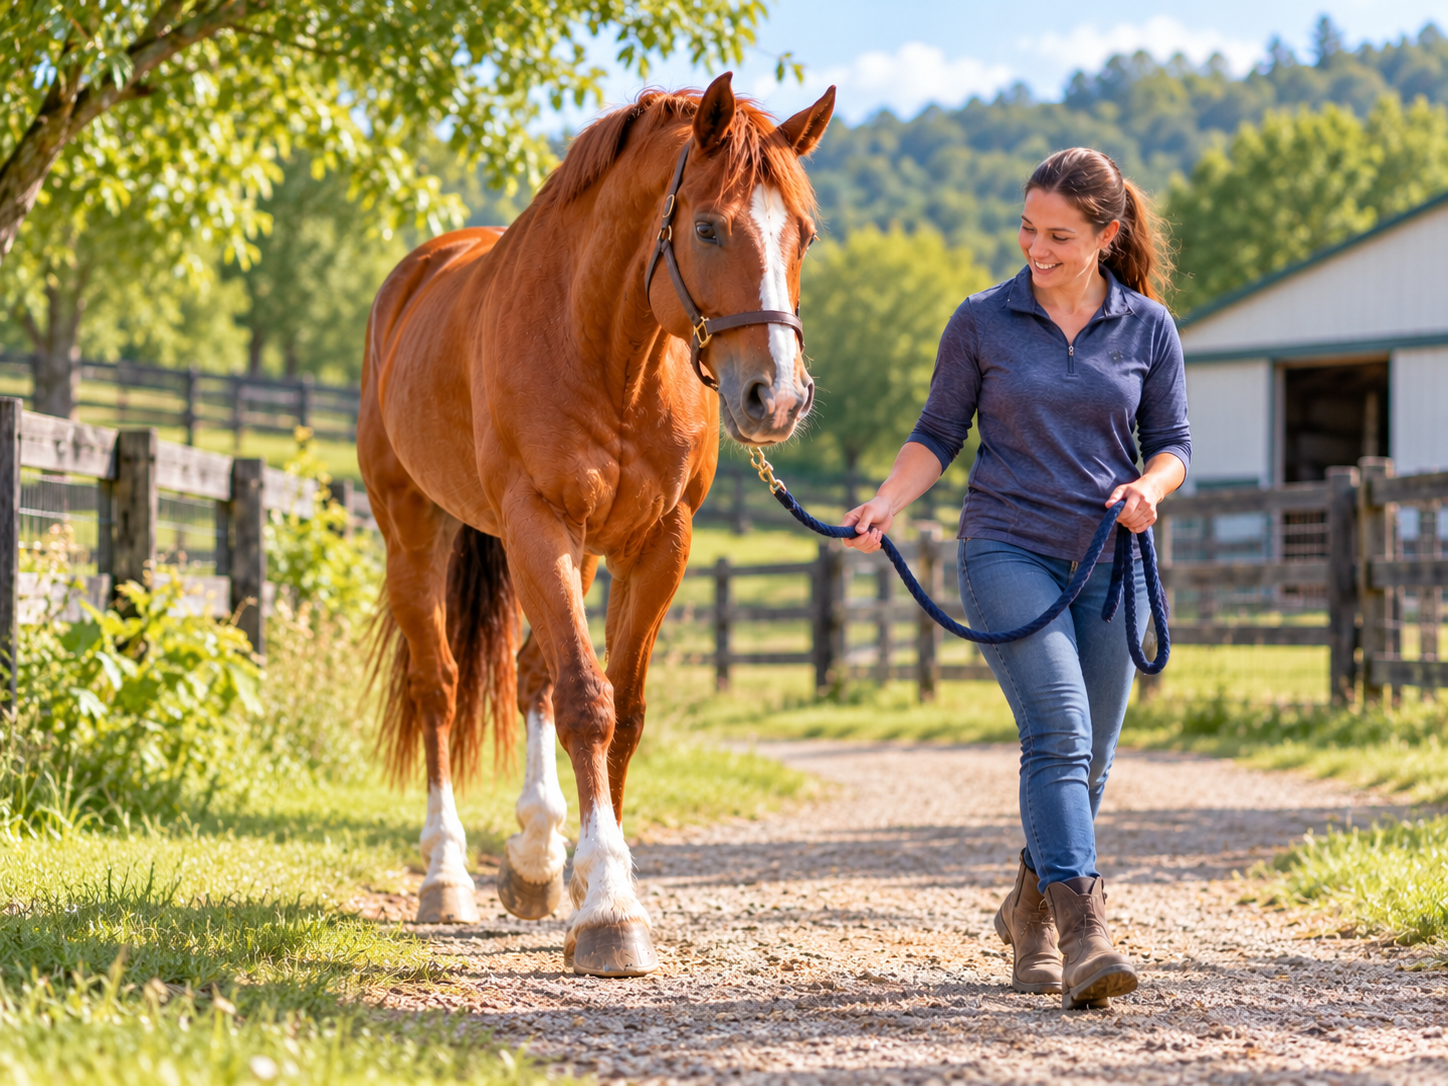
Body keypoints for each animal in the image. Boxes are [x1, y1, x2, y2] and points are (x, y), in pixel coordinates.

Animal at [358, 73, 836, 977]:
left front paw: (591, 880)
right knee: (440, 688)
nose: (777, 398)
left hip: (572, 558)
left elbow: (625, 708)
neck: (608, 351)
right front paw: (611, 907)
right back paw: (447, 877)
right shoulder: (537, 526)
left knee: (529, 674)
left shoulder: (658, 545)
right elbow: (589, 700)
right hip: (414, 530)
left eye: (804, 235)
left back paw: (539, 859)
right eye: (708, 226)